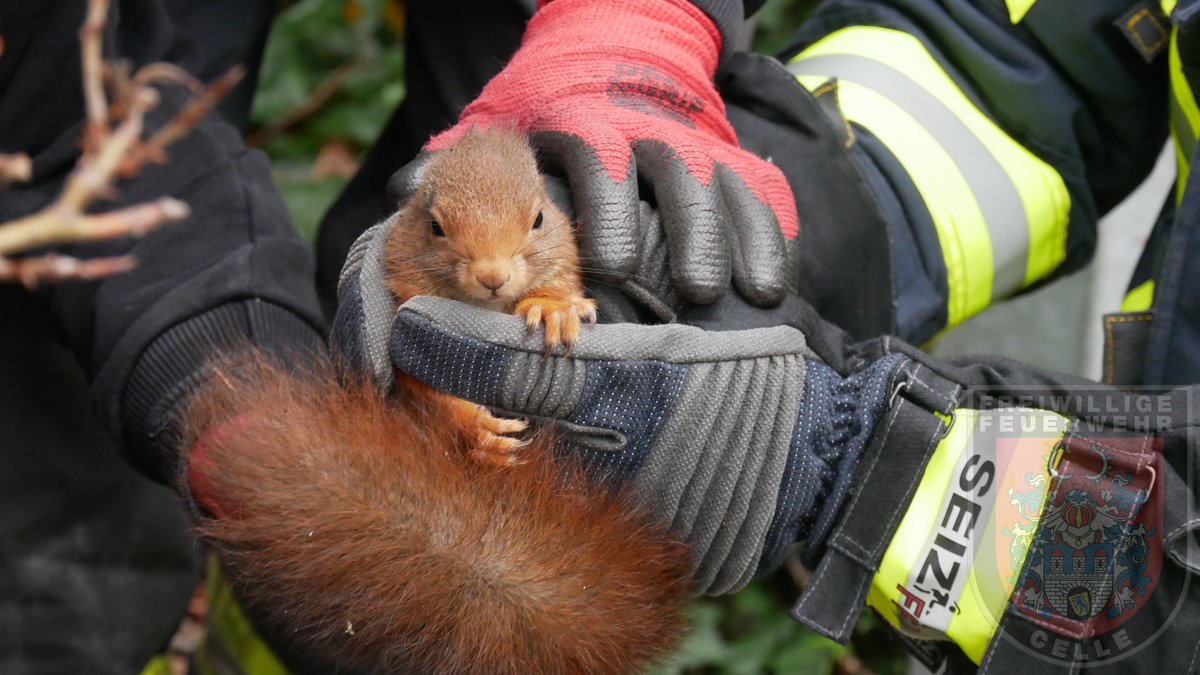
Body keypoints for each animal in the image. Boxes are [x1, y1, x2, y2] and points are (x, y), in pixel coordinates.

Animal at [184, 129, 692, 674]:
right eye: (434, 227)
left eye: (539, 218)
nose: (492, 276)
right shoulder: (406, 327)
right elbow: (431, 396)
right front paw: (481, 433)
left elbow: (559, 289)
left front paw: (554, 309)